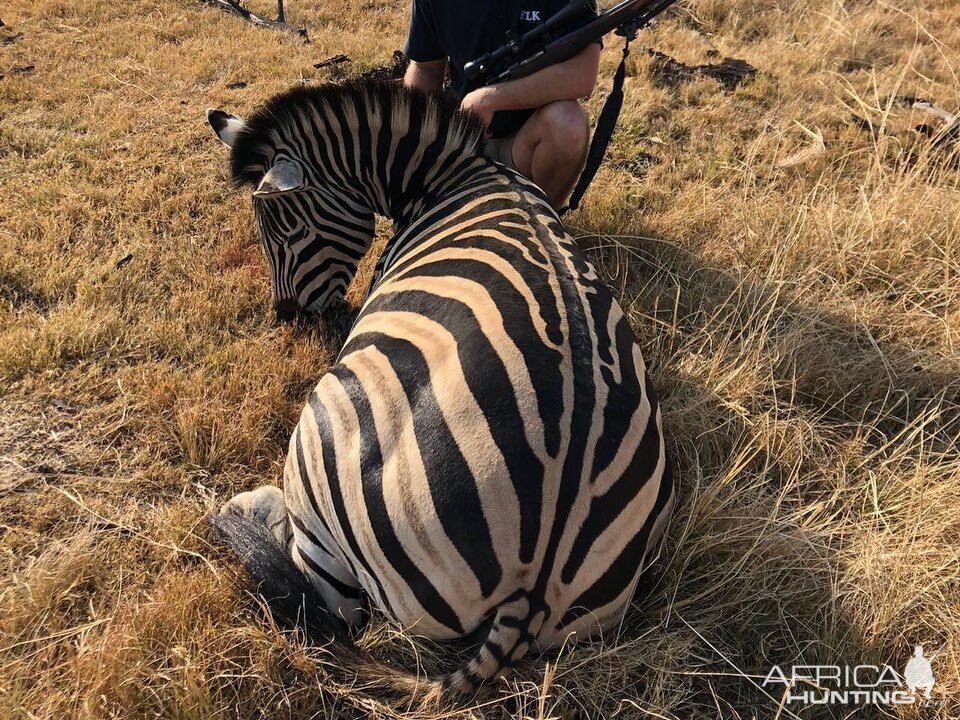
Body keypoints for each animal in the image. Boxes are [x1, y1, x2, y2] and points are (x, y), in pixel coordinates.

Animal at [208, 76, 676, 696]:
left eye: (290, 229)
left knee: (329, 603)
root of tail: (536, 577)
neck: (455, 172)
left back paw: (240, 510)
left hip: (321, 446)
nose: (287, 317)